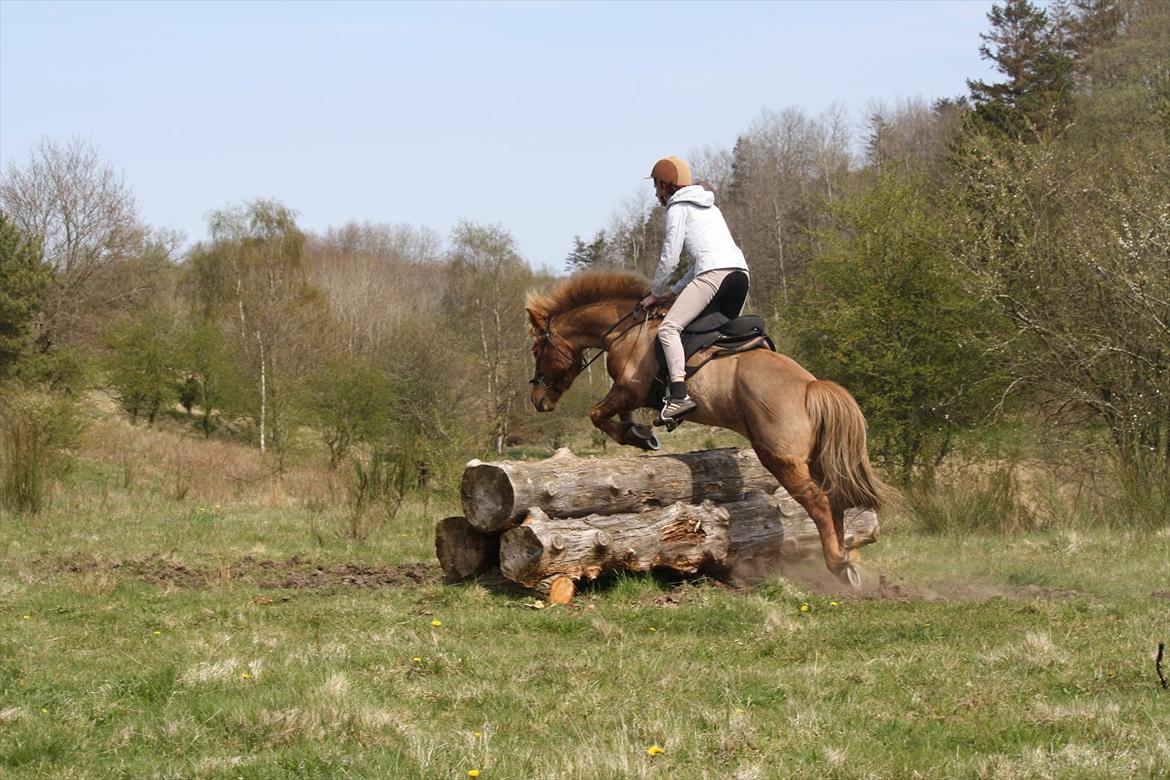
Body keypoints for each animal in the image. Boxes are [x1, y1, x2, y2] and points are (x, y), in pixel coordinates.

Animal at [524, 268, 893, 584]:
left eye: (537, 349)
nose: (538, 400)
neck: (625, 329)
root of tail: (811, 387)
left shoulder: (629, 390)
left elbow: (597, 415)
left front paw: (640, 437)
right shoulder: (628, 396)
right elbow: (610, 416)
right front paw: (640, 432)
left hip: (780, 458)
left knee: (818, 502)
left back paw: (838, 565)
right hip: (812, 458)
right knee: (835, 499)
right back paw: (843, 555)